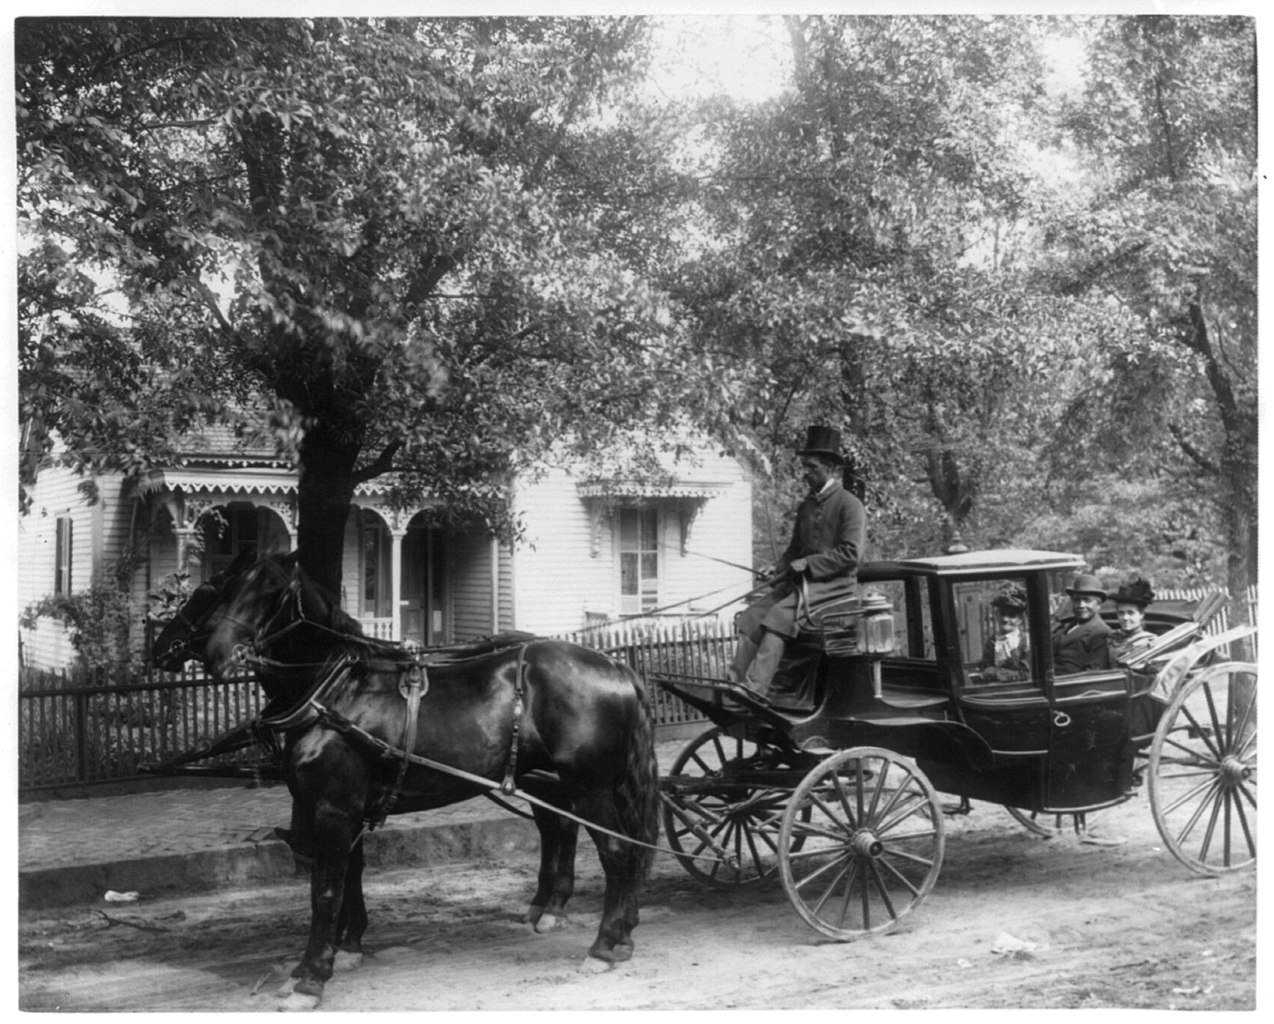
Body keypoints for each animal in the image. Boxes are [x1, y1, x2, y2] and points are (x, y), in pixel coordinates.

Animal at [154, 552, 662, 1008]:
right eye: (225, 587)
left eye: (269, 594)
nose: (216, 654)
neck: (334, 690)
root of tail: (615, 667)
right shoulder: (345, 810)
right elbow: (348, 877)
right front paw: (336, 953)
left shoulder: (333, 809)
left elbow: (325, 891)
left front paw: (312, 978)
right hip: (555, 782)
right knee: (572, 834)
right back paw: (602, 928)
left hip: (590, 787)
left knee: (616, 852)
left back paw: (603, 945)